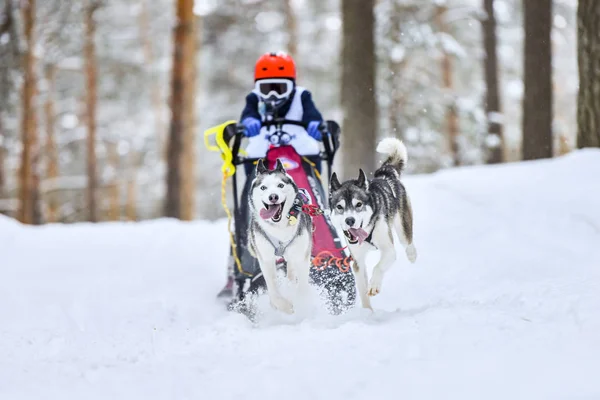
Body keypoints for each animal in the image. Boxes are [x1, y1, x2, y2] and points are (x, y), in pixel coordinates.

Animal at [248, 158, 314, 314]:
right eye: (263, 188)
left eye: (280, 185)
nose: (273, 196)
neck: (279, 227)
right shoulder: (266, 259)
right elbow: (273, 290)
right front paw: (284, 306)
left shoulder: (302, 256)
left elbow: (302, 286)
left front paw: (302, 303)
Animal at [328, 138, 418, 310]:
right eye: (340, 207)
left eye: (358, 204)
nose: (350, 220)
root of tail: (385, 173)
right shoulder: (357, 262)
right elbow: (363, 291)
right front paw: (368, 312)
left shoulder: (389, 251)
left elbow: (378, 266)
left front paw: (374, 285)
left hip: (403, 226)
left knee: (408, 243)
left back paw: (412, 255)